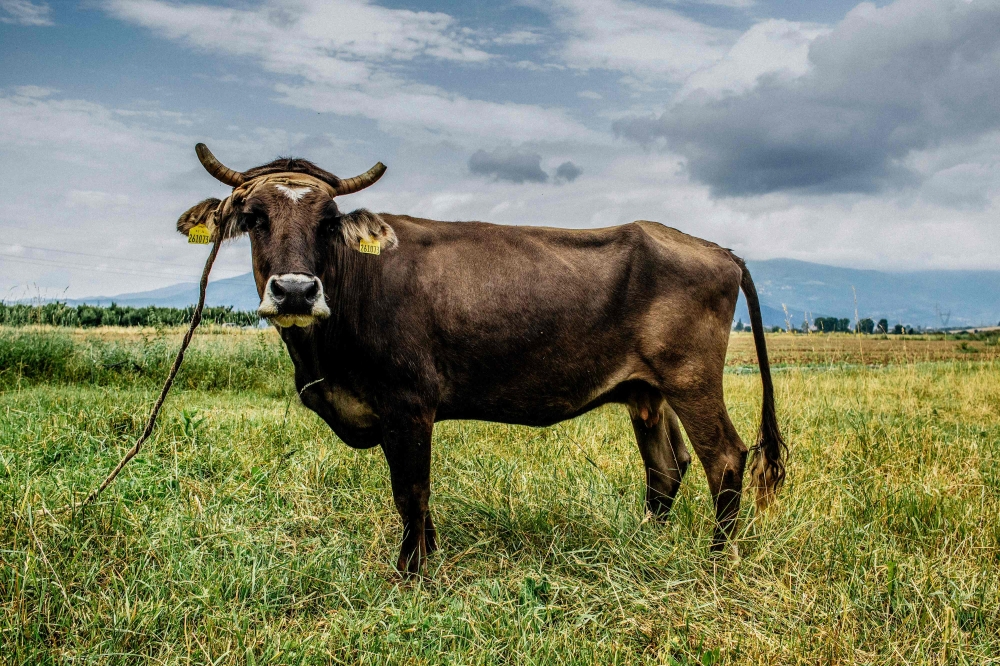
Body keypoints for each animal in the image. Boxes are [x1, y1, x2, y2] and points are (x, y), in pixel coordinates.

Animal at [176, 143, 786, 575]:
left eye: (328, 222)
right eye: (254, 217)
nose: (297, 292)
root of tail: (718, 249)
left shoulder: (408, 404)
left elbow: (411, 491)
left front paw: (410, 573)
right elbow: (416, 496)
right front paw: (428, 556)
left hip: (691, 378)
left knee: (725, 459)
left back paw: (716, 563)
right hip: (646, 390)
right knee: (666, 466)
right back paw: (644, 544)